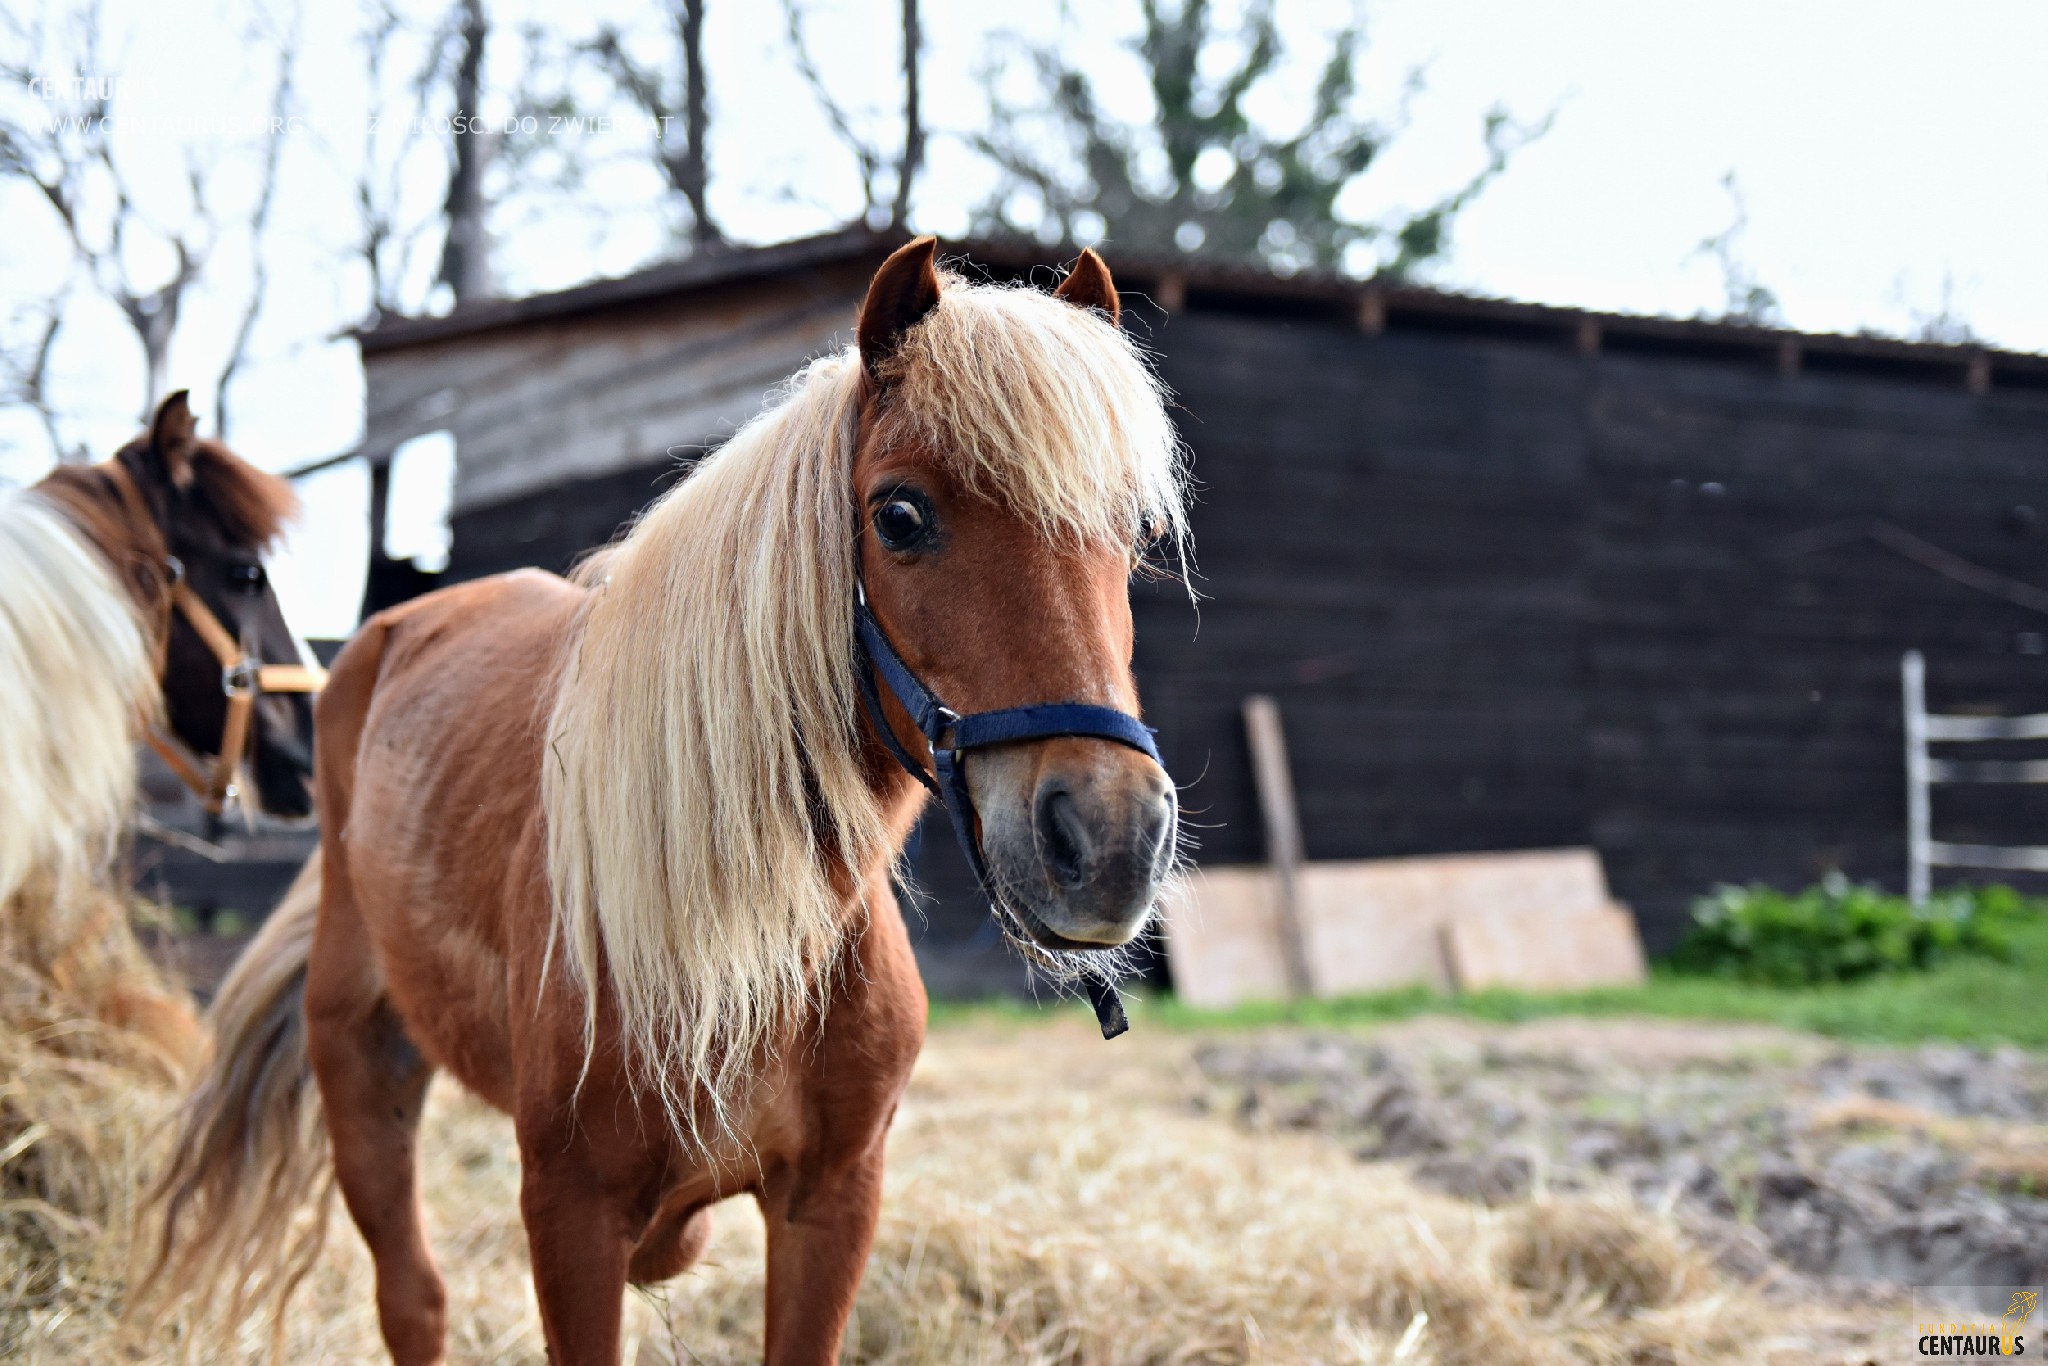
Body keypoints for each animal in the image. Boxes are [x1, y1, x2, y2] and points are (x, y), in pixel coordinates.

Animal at [144, 240, 1187, 1359]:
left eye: (1137, 529)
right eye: (900, 516)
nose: (1110, 837)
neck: (751, 946)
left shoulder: (833, 1202)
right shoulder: (572, 1217)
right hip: (363, 1070)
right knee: (413, 1300)